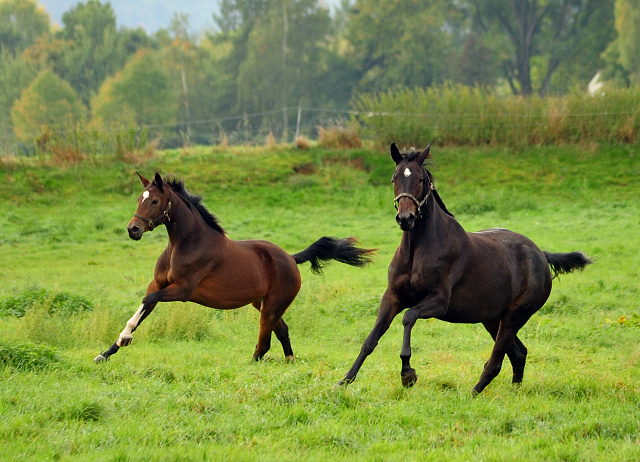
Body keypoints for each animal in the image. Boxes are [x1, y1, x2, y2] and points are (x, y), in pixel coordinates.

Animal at [95, 173, 376, 364]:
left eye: (154, 201)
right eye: (138, 199)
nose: (133, 229)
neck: (185, 243)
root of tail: (290, 258)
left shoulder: (182, 290)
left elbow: (148, 300)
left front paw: (124, 339)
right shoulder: (159, 283)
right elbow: (144, 306)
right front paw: (108, 351)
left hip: (271, 306)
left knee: (264, 343)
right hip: (263, 304)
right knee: (282, 331)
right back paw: (290, 361)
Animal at [338, 143, 592, 394]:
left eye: (420, 179)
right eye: (394, 178)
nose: (405, 218)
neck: (418, 249)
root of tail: (540, 254)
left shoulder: (439, 301)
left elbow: (409, 317)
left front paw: (407, 373)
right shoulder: (392, 297)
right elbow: (371, 340)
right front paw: (344, 381)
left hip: (515, 316)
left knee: (497, 360)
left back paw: (472, 394)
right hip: (493, 318)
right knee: (519, 353)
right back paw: (513, 392)